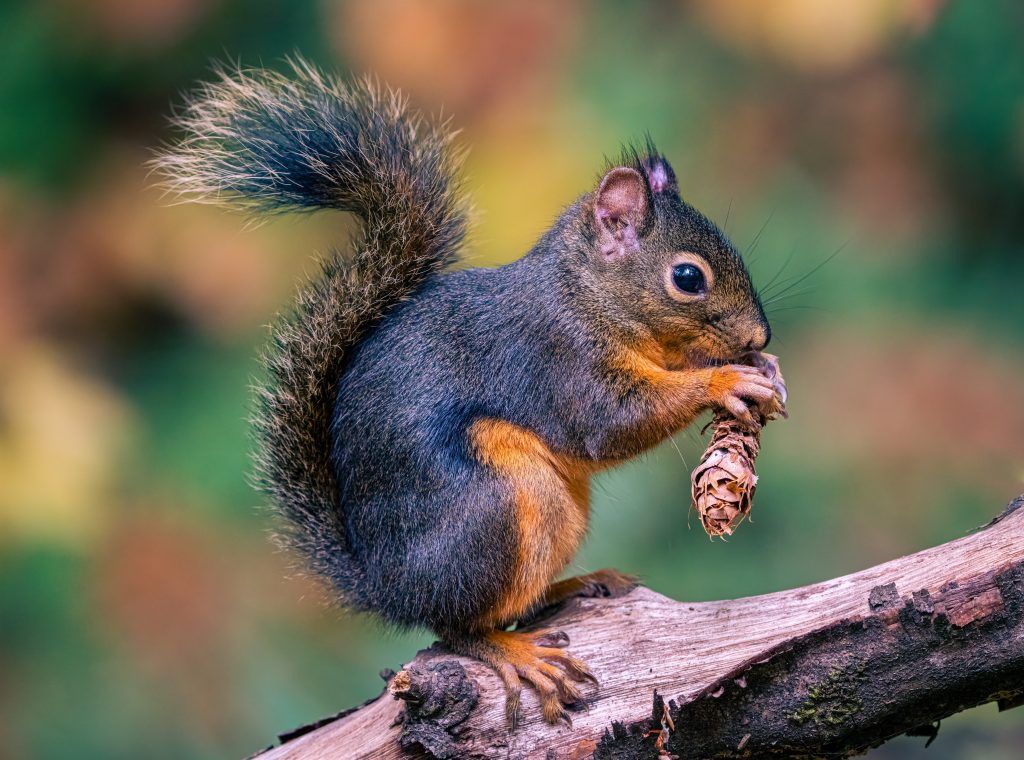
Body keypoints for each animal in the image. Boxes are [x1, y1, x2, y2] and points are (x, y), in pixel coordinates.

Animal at [153, 58, 774, 725]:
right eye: (687, 277)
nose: (760, 334)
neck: (587, 295)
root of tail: (386, 586)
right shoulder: (558, 359)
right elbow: (610, 423)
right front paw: (727, 378)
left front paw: (762, 366)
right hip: (495, 507)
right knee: (453, 629)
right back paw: (515, 652)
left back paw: (576, 585)